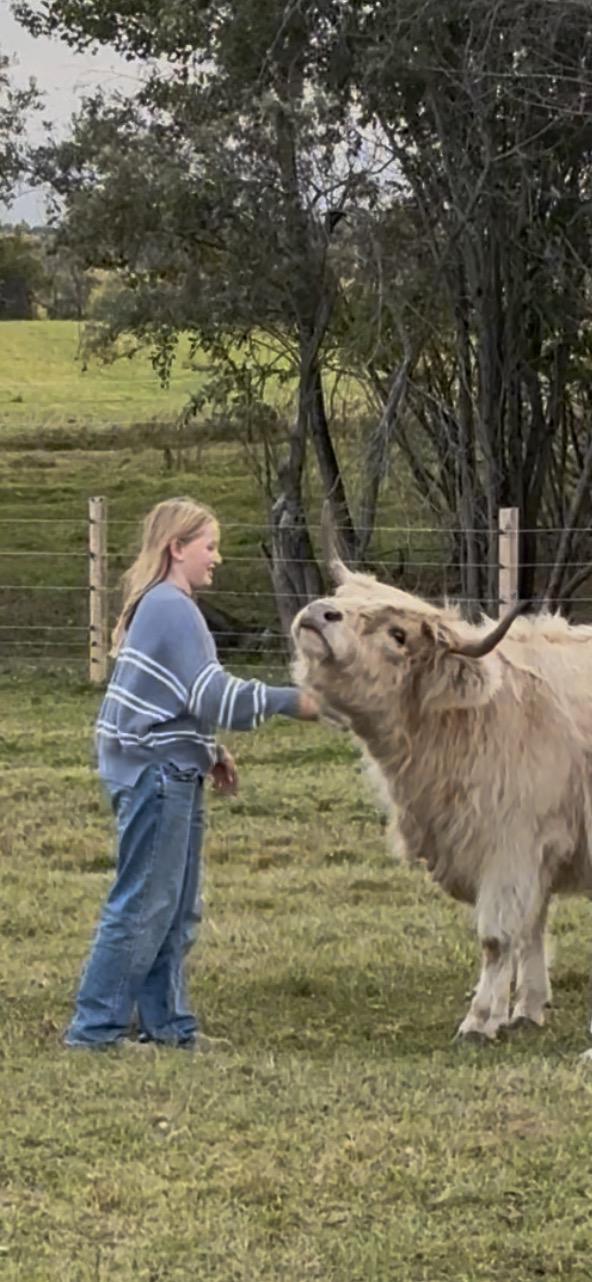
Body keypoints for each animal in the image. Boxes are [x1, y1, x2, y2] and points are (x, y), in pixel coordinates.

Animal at [291, 539, 592, 1045]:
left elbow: (497, 938)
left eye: (398, 634)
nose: (319, 612)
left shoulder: (510, 846)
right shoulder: (534, 854)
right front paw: (526, 1009)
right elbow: (530, 929)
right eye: (345, 597)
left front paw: (480, 1020)